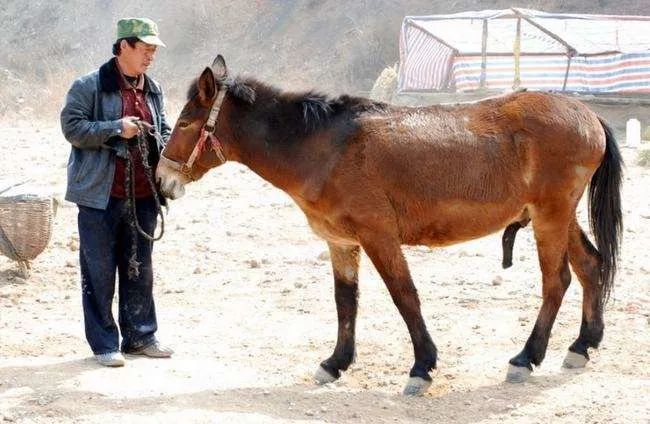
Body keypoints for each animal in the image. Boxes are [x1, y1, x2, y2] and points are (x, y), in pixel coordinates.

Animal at [156, 55, 622, 396]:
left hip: (550, 217)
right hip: (560, 217)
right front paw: (336, 363)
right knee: (590, 267)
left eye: (184, 123)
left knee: (557, 281)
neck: (326, 149)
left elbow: (404, 297)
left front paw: (421, 365)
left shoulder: (378, 237)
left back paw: (526, 357)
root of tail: (587, 114)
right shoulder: (341, 243)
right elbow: (345, 302)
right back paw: (583, 345)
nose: (161, 180)